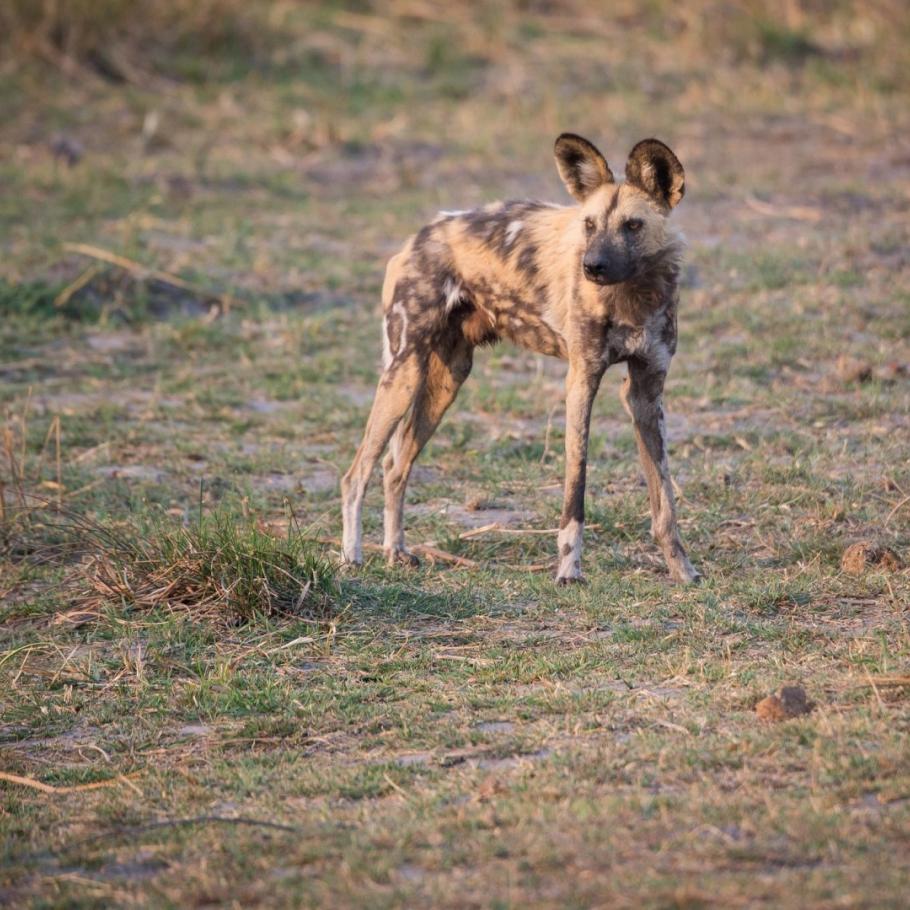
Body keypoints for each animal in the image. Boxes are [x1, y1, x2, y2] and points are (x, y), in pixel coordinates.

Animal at [338, 132, 700, 588]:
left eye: (632, 226)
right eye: (589, 225)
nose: (592, 266)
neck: (633, 296)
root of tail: (419, 235)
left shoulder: (647, 392)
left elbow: (664, 499)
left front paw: (682, 569)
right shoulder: (581, 382)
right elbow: (576, 490)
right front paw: (568, 571)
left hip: (446, 381)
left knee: (394, 467)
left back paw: (395, 552)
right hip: (403, 375)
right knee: (356, 474)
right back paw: (351, 558)